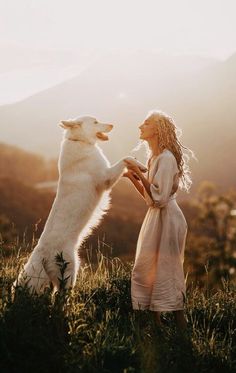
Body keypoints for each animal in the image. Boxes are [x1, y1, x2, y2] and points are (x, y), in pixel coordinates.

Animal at [15, 115, 146, 292]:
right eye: (95, 122)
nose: (112, 124)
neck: (80, 141)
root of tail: (41, 252)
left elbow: (127, 168)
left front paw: (137, 172)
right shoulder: (106, 178)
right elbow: (126, 158)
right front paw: (140, 166)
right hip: (70, 271)